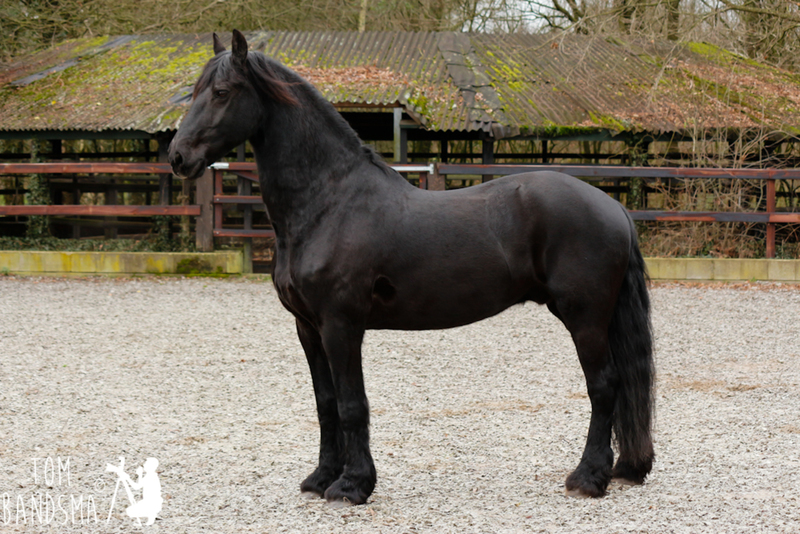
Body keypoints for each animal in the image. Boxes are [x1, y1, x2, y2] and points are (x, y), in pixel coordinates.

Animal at [169, 30, 655, 506]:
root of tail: (613, 205)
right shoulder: (308, 327)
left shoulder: (341, 324)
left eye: (221, 92)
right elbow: (325, 403)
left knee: (603, 386)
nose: (177, 157)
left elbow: (351, 404)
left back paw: (588, 478)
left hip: (584, 316)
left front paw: (352, 485)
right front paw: (321, 478)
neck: (328, 202)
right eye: (193, 91)